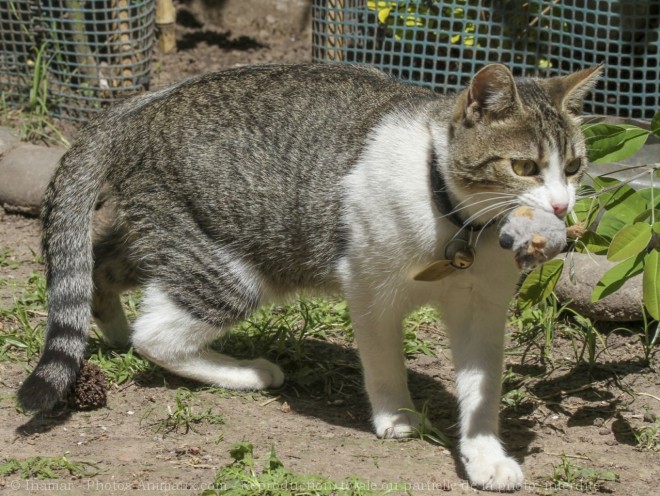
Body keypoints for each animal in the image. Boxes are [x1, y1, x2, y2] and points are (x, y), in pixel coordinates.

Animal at [19, 63, 600, 492]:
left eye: (572, 167)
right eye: (524, 168)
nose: (560, 205)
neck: (460, 229)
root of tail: (141, 107)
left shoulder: (484, 309)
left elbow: (482, 389)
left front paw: (484, 454)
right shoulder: (369, 288)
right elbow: (384, 365)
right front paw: (397, 416)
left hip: (169, 241)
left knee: (98, 268)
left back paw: (110, 331)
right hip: (230, 268)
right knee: (156, 336)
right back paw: (246, 372)